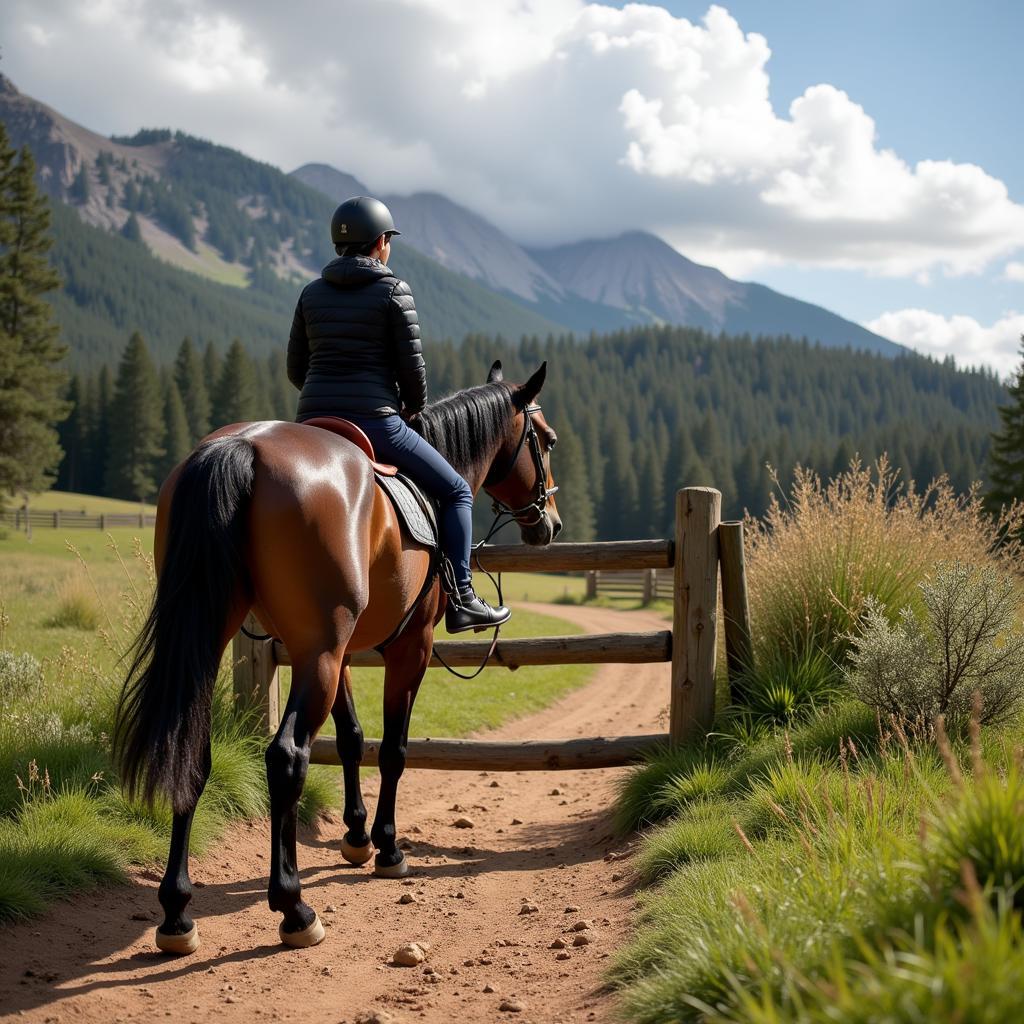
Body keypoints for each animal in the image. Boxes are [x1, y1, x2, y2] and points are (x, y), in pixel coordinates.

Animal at [112, 358, 561, 950]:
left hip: (230, 642)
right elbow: (392, 749)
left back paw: (176, 912)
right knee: (286, 758)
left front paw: (355, 836)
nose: (551, 521)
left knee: (192, 751)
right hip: (318, 656)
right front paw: (387, 847)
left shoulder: (340, 653)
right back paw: (294, 907)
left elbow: (351, 738)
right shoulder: (409, 648)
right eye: (546, 441)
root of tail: (240, 447)